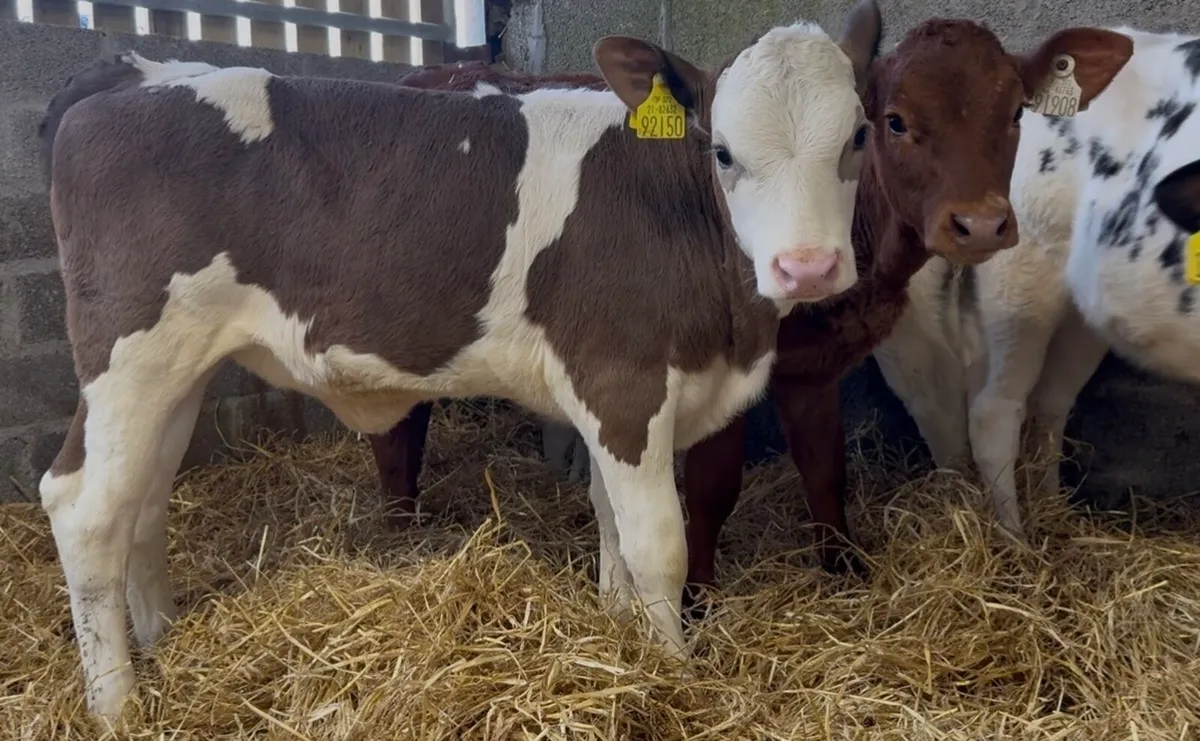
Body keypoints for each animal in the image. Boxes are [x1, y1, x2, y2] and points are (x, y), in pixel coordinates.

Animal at [37, 2, 883, 718]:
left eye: (859, 138)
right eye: (723, 151)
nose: (807, 267)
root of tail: (140, 74)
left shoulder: (604, 396)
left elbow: (612, 535)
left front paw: (620, 640)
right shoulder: (624, 382)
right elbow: (657, 548)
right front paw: (674, 673)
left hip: (177, 366)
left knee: (143, 495)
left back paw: (162, 638)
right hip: (129, 351)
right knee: (84, 504)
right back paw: (116, 703)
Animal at [361, 22, 1136, 596]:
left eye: (1015, 113)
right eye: (894, 121)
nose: (978, 225)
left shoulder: (815, 365)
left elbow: (825, 467)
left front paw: (844, 567)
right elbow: (712, 487)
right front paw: (700, 593)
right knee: (398, 426)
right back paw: (401, 531)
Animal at [874, 27, 1195, 537]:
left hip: (1068, 316)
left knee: (1037, 403)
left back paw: (1042, 510)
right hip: (1020, 290)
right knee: (989, 410)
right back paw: (1015, 542)